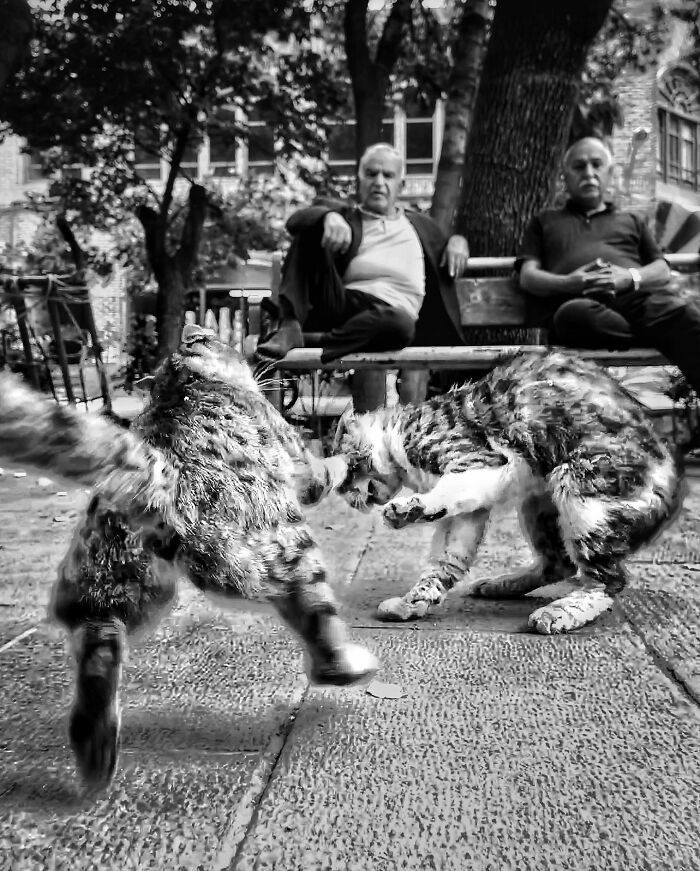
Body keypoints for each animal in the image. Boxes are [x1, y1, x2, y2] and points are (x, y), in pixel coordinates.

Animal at [0, 326, 378, 792]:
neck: (180, 387)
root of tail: (159, 474)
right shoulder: (299, 460)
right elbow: (329, 466)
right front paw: (353, 454)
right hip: (286, 552)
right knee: (319, 631)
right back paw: (348, 666)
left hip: (111, 587)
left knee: (99, 646)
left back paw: (95, 749)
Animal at [328, 348, 684, 632]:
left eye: (344, 476)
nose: (349, 499)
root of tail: (674, 486)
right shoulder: (471, 504)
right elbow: (446, 557)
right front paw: (414, 600)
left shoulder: (479, 462)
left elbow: (442, 498)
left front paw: (407, 510)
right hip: (538, 503)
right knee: (560, 562)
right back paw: (502, 585)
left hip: (579, 483)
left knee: (609, 579)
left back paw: (560, 613)